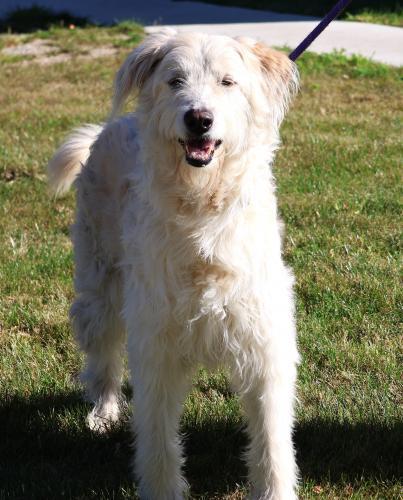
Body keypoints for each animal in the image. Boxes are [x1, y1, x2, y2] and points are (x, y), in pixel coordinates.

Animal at [48, 31, 300, 500]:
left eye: (227, 82)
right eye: (175, 80)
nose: (199, 118)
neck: (202, 206)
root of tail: (108, 130)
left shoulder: (264, 345)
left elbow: (272, 441)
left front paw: (275, 490)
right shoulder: (156, 344)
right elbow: (158, 437)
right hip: (100, 287)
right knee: (103, 358)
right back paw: (104, 412)